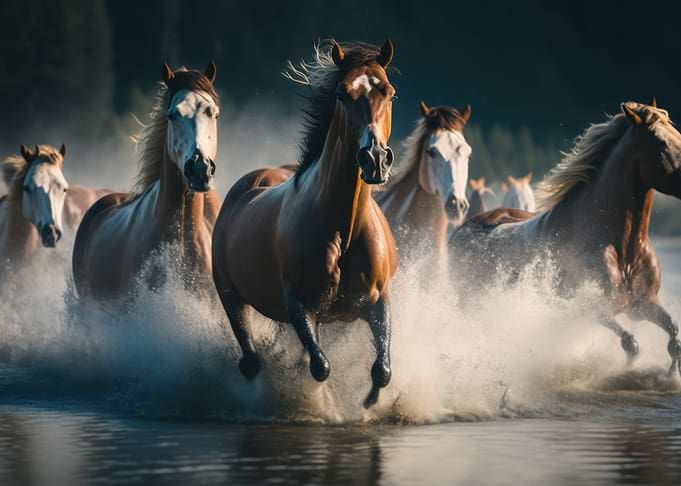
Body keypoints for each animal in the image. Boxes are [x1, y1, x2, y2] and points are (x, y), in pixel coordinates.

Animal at [212, 39, 398, 408]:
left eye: (389, 93)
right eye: (342, 93)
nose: (375, 158)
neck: (343, 230)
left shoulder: (377, 301)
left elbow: (382, 369)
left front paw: (368, 405)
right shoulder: (299, 305)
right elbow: (319, 367)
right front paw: (324, 404)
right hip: (230, 296)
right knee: (251, 361)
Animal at [449, 100, 681, 374]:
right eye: (660, 141)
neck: (622, 247)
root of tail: (460, 232)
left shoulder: (644, 304)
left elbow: (674, 336)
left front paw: (672, 374)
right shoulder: (592, 309)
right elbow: (631, 343)